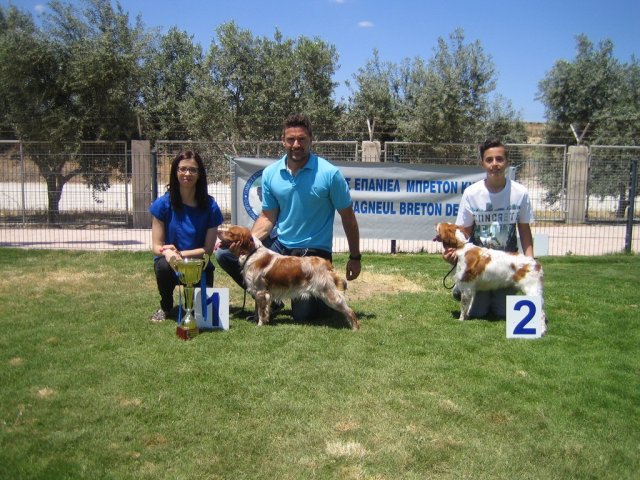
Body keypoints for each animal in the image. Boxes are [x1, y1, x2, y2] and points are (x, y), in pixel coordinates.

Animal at [214, 225, 356, 330]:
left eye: (231, 233)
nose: (217, 231)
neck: (252, 253)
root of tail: (326, 263)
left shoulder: (260, 291)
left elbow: (261, 311)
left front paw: (260, 324)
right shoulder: (260, 292)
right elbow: (260, 309)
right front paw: (259, 320)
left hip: (329, 293)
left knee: (349, 310)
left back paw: (355, 328)